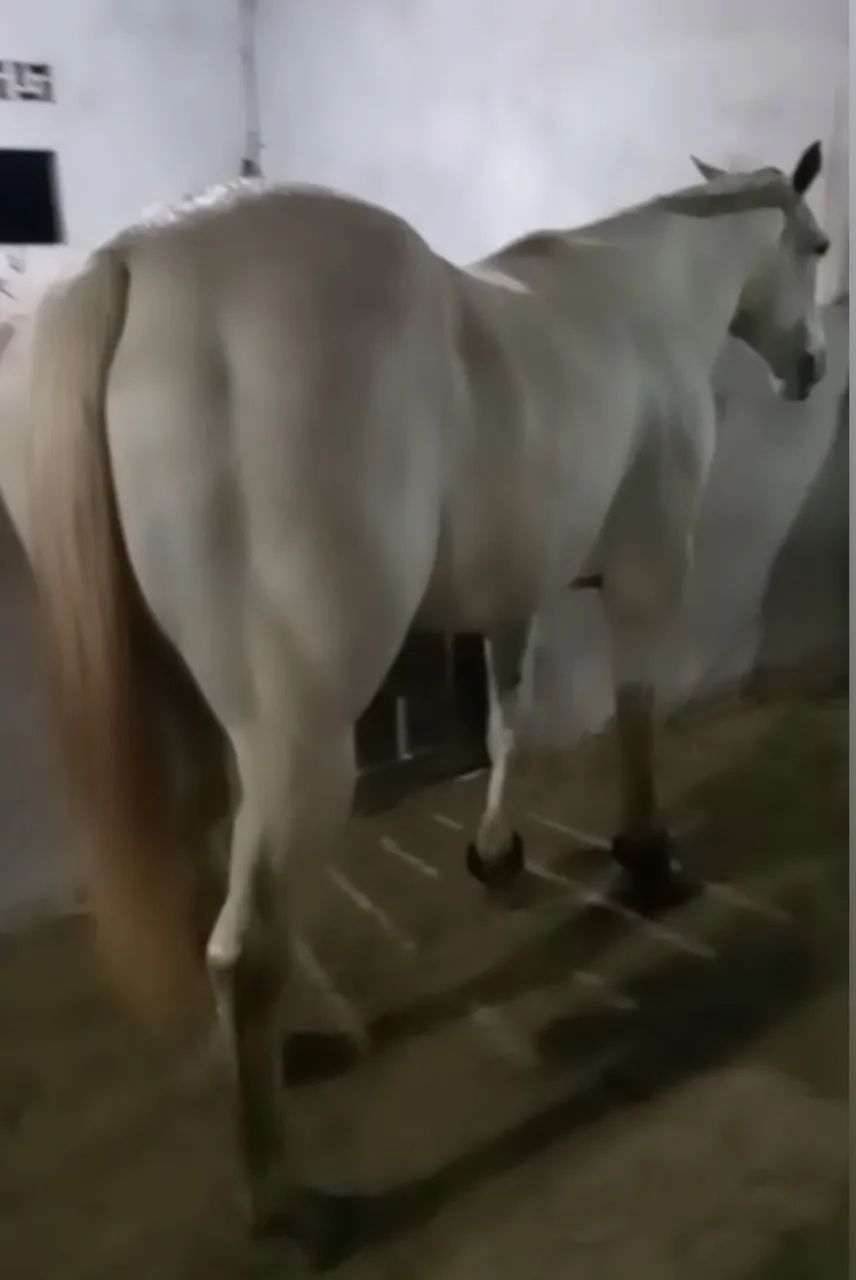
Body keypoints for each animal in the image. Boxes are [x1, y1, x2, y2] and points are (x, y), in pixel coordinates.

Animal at [24, 142, 828, 1257]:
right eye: (817, 244)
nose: (812, 368)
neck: (636, 301)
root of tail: (137, 259)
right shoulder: (648, 569)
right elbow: (633, 709)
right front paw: (646, 859)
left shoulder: (516, 590)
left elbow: (507, 722)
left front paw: (497, 853)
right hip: (301, 735)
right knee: (244, 949)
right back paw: (286, 1201)